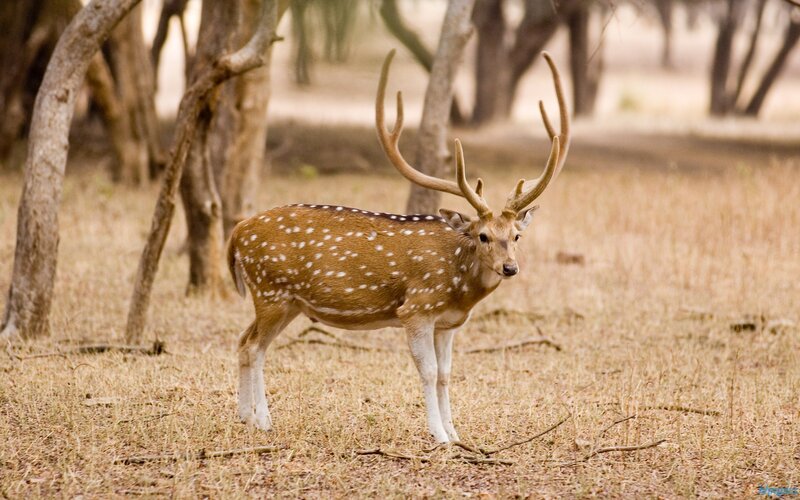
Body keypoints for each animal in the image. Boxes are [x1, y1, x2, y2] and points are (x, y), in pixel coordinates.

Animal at [227, 50, 569, 443]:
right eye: (482, 235)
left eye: (516, 236)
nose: (510, 267)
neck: (458, 287)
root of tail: (237, 232)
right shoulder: (417, 309)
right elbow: (428, 372)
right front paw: (438, 435)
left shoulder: (448, 323)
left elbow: (446, 374)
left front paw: (455, 434)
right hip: (270, 291)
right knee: (254, 346)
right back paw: (262, 420)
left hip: (288, 303)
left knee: (244, 341)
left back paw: (245, 417)